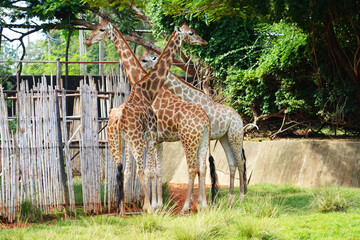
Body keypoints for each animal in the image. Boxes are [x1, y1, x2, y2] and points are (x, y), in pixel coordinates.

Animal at [84, 19, 211, 213]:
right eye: (191, 32)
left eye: (101, 29)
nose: (87, 40)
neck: (145, 88)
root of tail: (205, 120)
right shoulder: (153, 139)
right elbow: (151, 171)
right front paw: (154, 205)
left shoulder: (151, 139)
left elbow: (150, 171)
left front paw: (153, 205)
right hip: (197, 139)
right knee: (199, 167)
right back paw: (198, 205)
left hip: (189, 139)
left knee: (196, 167)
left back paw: (190, 206)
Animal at [141, 51, 248, 205]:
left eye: (145, 60)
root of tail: (240, 118)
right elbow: (199, 166)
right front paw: (197, 199)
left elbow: (200, 166)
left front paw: (198, 200)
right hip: (224, 137)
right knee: (232, 163)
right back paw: (230, 198)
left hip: (235, 135)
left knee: (241, 161)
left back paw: (241, 197)